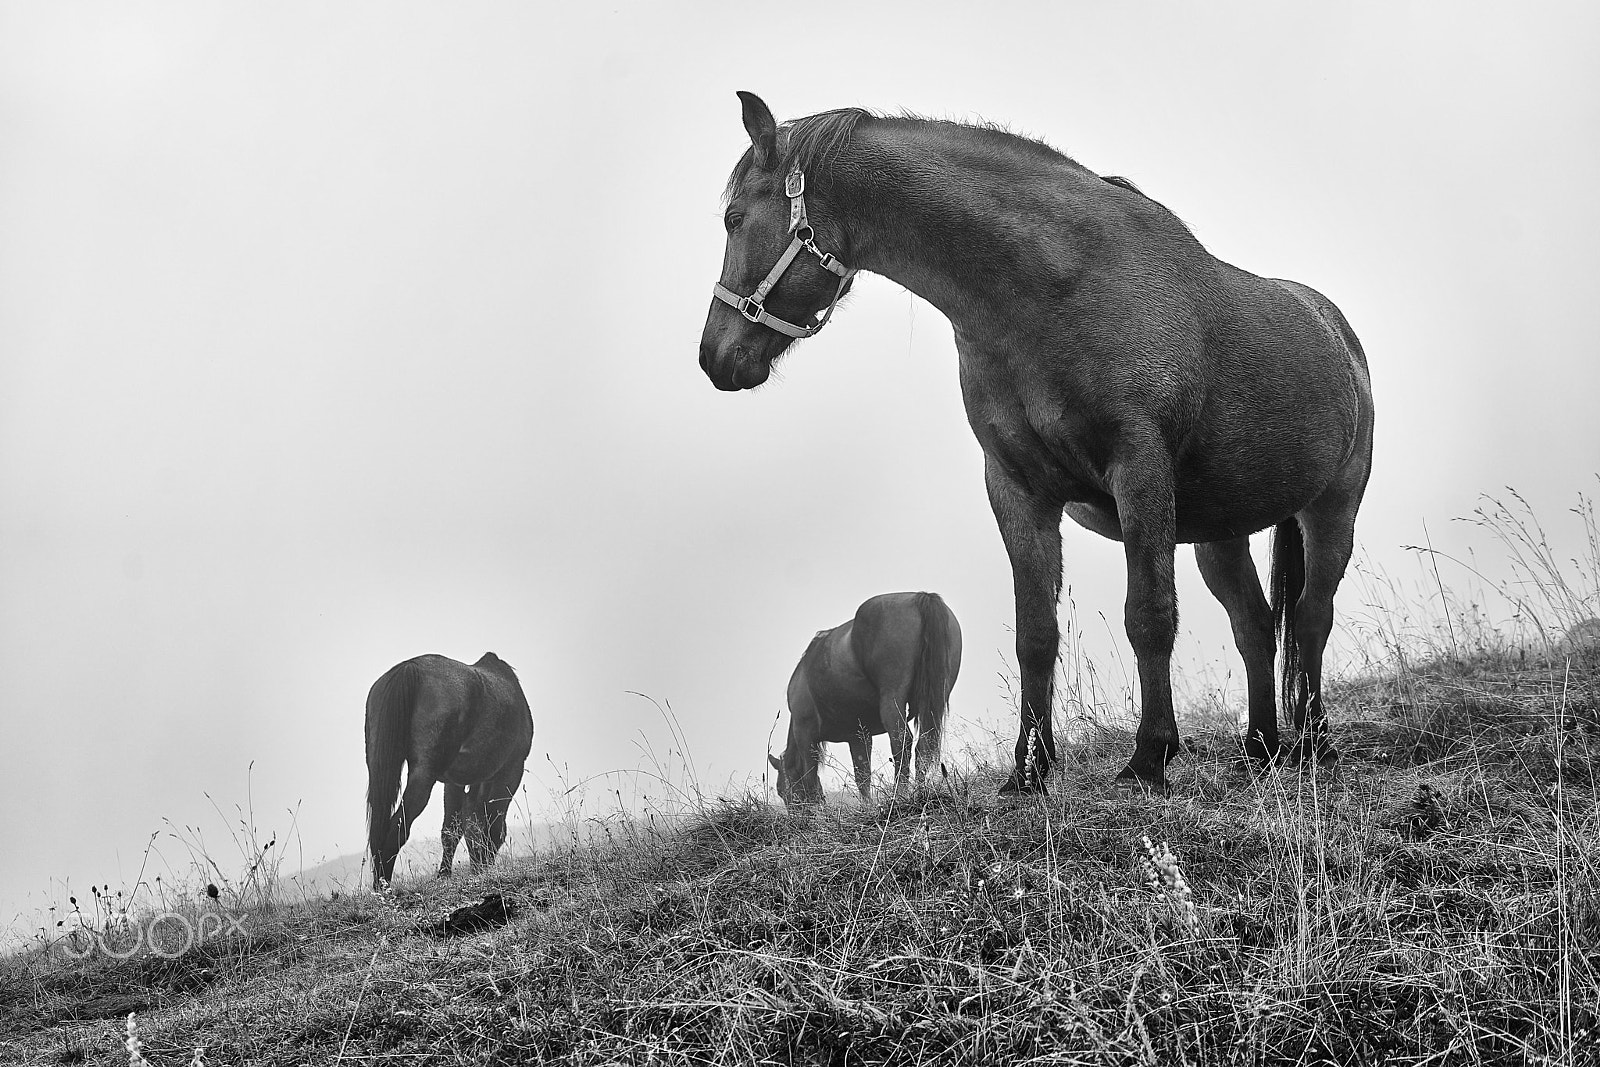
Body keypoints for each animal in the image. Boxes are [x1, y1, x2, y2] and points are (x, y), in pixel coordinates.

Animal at [365, 652, 534, 889]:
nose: (481, 867)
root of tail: (409, 668)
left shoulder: (456, 782)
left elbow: (454, 829)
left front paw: (444, 875)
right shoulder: (511, 771)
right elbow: (492, 825)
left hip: (378, 767)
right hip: (425, 775)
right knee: (397, 827)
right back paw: (383, 887)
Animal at [769, 591, 961, 808]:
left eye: (782, 791)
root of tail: (920, 597)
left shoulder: (805, 733)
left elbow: (810, 776)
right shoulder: (858, 736)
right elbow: (862, 775)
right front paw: (867, 806)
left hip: (892, 701)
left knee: (902, 743)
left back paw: (900, 794)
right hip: (934, 700)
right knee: (923, 746)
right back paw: (921, 791)